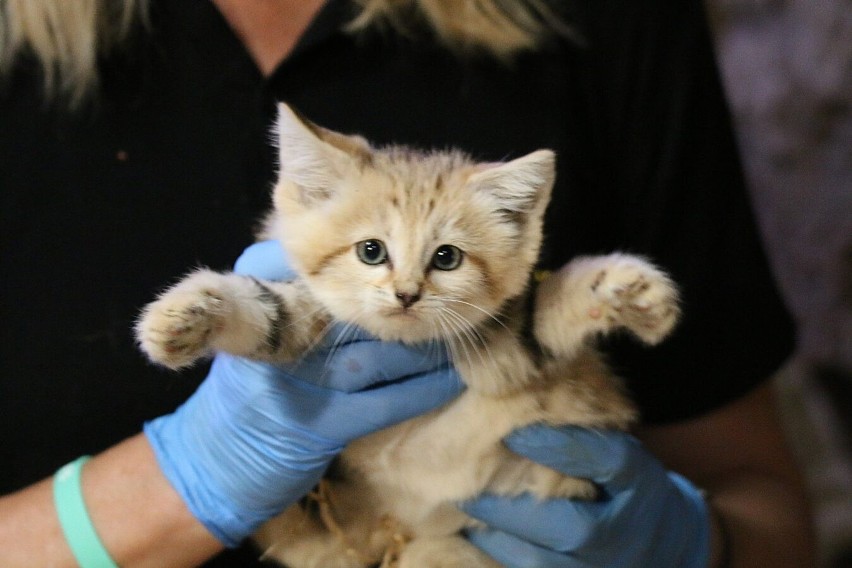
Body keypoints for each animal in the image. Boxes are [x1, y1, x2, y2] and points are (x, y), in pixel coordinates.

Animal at [135, 105, 680, 568]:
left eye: (447, 257)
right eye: (371, 251)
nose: (406, 294)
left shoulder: (509, 352)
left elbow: (545, 313)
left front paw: (628, 291)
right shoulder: (313, 316)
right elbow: (268, 315)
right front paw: (187, 315)